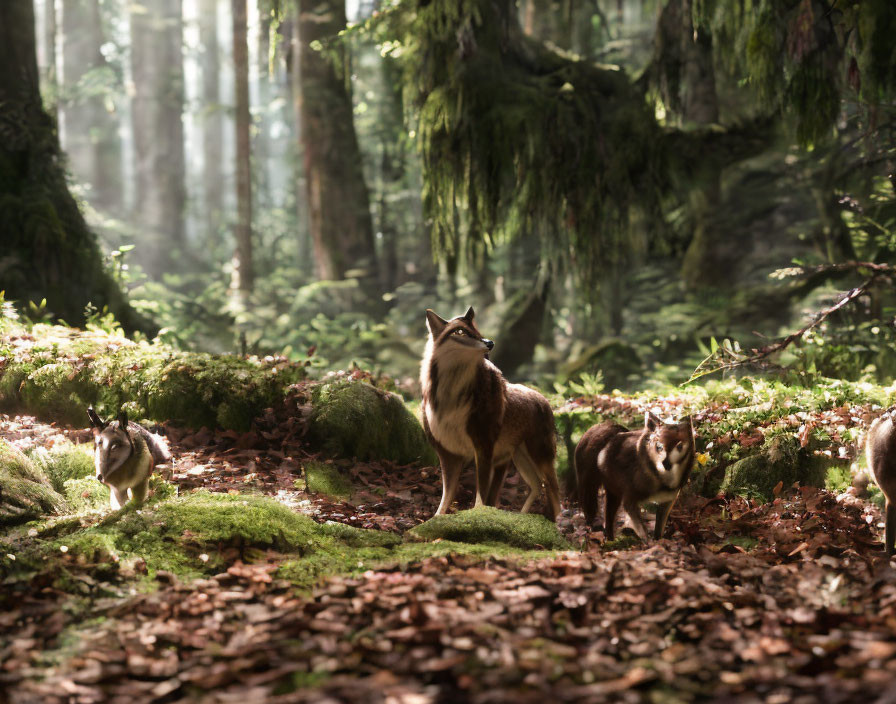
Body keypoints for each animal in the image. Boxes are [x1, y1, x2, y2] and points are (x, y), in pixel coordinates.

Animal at [420, 306, 560, 520]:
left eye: (477, 331)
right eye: (460, 331)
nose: (490, 343)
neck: (452, 396)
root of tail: (543, 400)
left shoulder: (483, 446)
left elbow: (481, 492)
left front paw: (478, 515)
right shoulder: (448, 453)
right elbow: (447, 495)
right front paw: (435, 520)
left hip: (537, 454)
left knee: (553, 488)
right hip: (519, 456)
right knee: (537, 484)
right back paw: (521, 516)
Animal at [576, 410, 700, 540]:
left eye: (680, 446)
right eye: (659, 446)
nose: (665, 464)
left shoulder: (668, 501)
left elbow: (659, 529)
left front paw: (658, 540)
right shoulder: (630, 500)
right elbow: (643, 530)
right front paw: (649, 542)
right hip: (605, 490)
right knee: (603, 517)